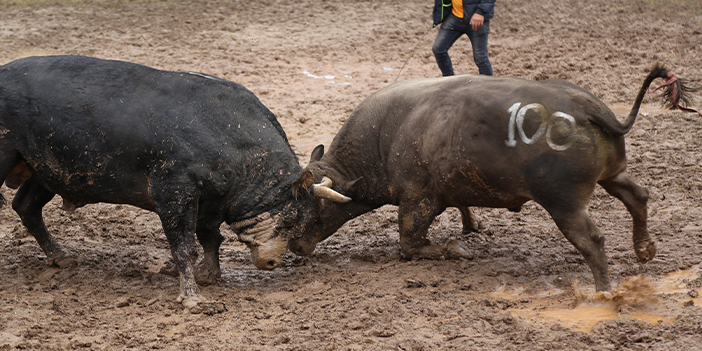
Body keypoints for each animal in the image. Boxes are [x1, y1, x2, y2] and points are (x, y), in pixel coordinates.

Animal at [284, 65, 700, 292]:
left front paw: (456, 248)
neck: (388, 134)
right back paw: (644, 249)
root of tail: (586, 107)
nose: (295, 246)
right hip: (613, 175)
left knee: (593, 241)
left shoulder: (417, 201)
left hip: (564, 205)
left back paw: (602, 291)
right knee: (638, 197)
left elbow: (410, 244)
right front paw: (471, 227)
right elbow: (461, 209)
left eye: (313, 209)